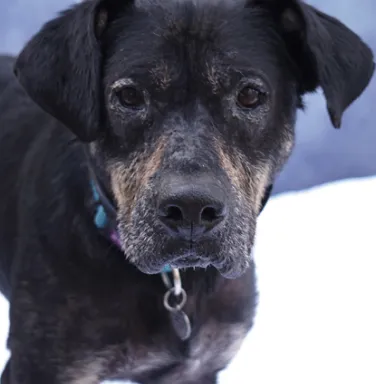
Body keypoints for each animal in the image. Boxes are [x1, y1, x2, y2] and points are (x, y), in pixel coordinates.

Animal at [0, 0, 374, 382]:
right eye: (129, 95)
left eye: (250, 95)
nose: (191, 209)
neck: (177, 284)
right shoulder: (40, 366)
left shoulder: (198, 367)